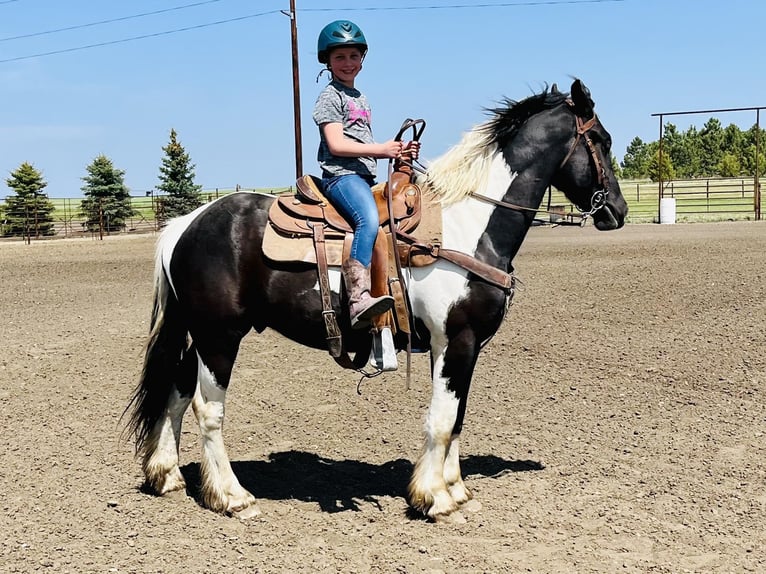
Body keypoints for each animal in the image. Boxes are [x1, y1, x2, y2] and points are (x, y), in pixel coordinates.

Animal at [126, 77, 632, 528]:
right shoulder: (456, 340)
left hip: (197, 334)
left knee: (174, 392)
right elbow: (442, 421)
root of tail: (186, 224)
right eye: (602, 140)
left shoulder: (461, 348)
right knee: (207, 409)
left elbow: (457, 418)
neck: (468, 225)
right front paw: (435, 500)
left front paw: (456, 490)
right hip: (219, 336)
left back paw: (167, 476)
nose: (619, 212)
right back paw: (232, 497)